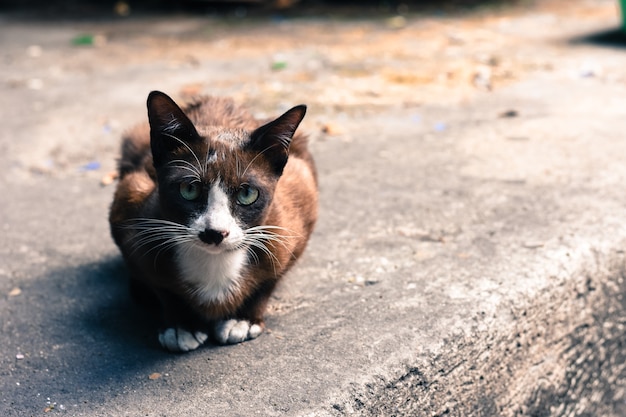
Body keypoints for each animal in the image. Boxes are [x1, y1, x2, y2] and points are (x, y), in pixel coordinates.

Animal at [106, 91, 316, 352]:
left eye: (247, 194)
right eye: (189, 189)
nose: (215, 232)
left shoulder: (294, 214)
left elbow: (271, 279)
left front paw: (242, 321)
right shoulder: (132, 208)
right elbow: (163, 288)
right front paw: (182, 327)